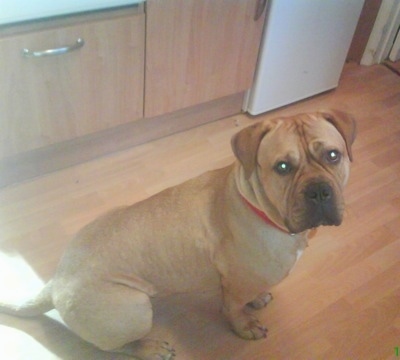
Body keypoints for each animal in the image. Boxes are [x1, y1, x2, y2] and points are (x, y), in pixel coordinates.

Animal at [0, 109, 356, 360]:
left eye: (333, 155)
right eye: (282, 167)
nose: (319, 191)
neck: (258, 205)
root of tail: (56, 280)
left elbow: (247, 294)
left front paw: (257, 298)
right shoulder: (236, 283)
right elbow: (233, 310)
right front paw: (244, 327)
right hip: (134, 309)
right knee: (113, 346)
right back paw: (149, 348)